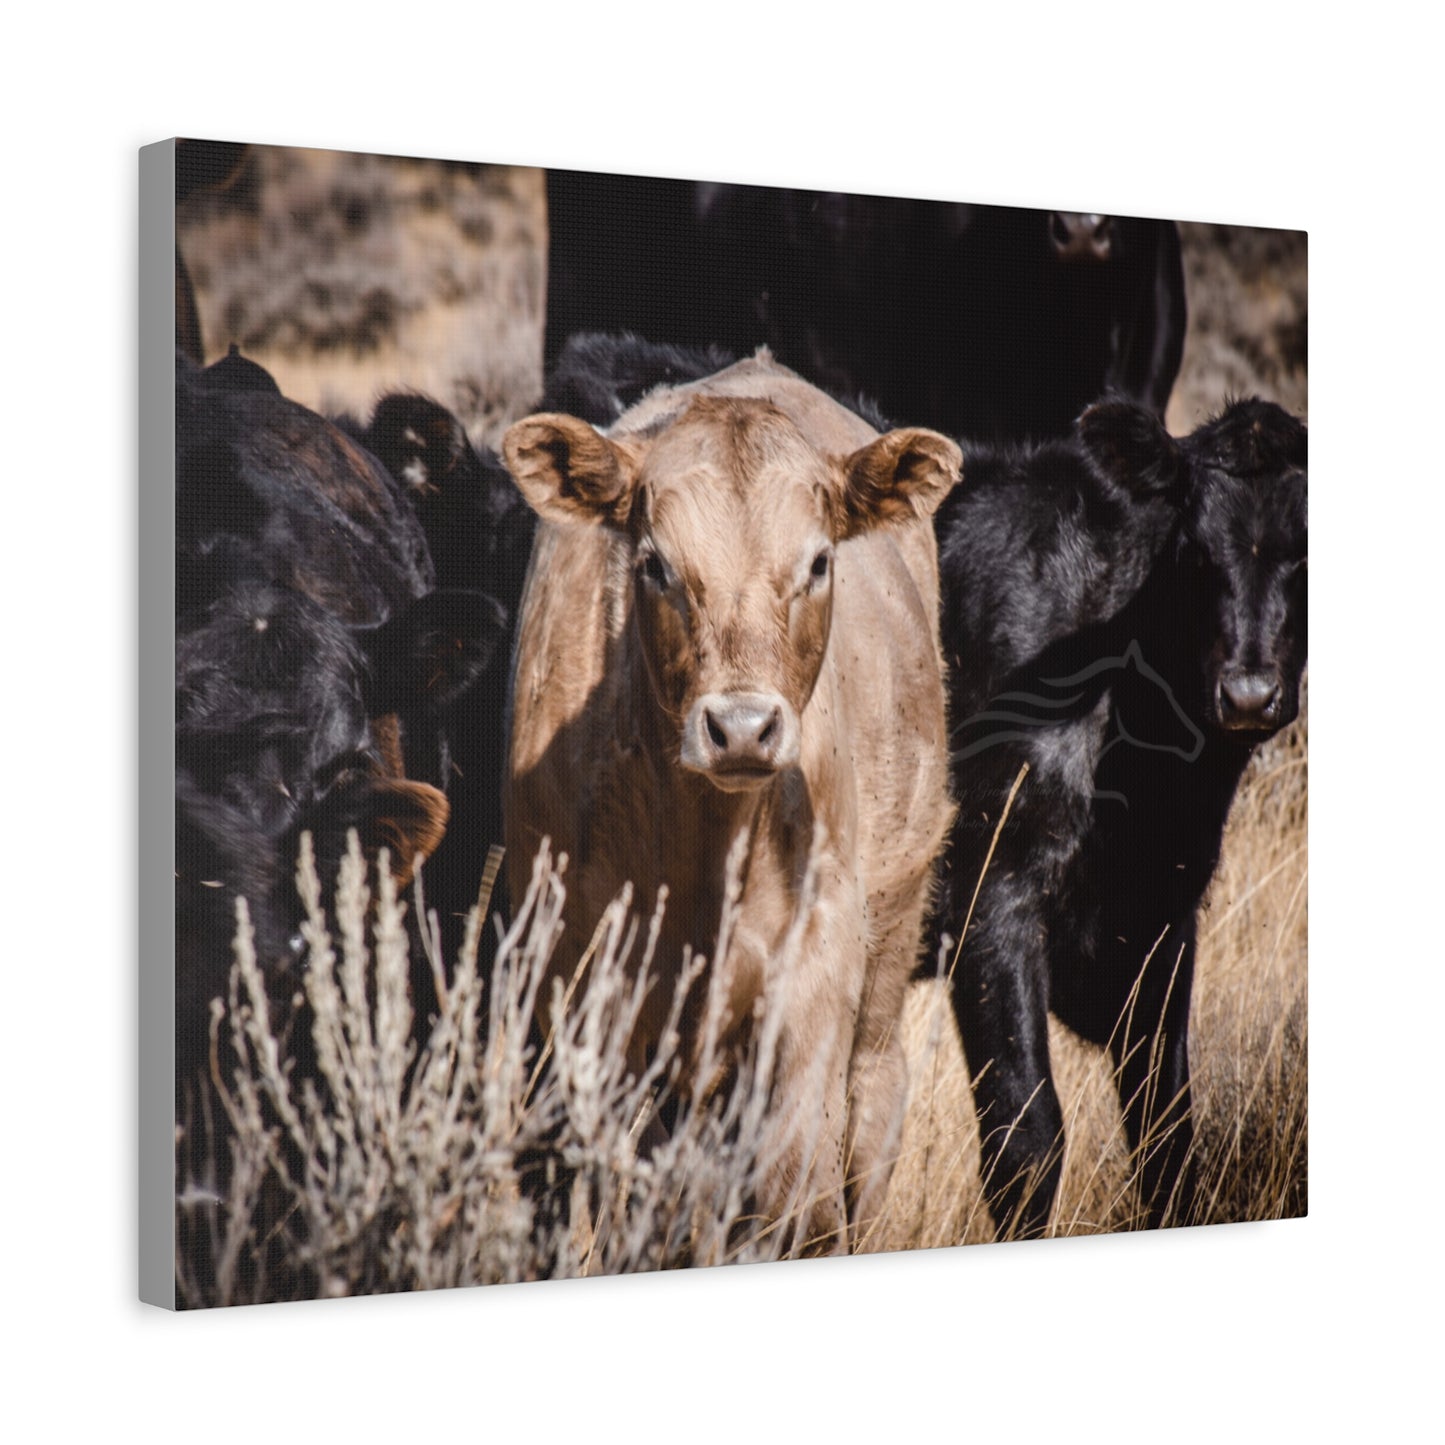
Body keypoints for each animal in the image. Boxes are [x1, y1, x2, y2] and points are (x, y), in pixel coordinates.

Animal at [501, 352, 961, 1252]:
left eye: (817, 562)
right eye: (655, 564)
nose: (742, 727)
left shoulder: (812, 978)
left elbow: (794, 1200)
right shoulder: (580, 990)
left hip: (888, 949)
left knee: (868, 1115)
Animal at [933, 396, 1308, 1235]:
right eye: (1193, 550)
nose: (1247, 694)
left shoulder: (1164, 914)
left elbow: (1165, 1134)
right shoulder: (991, 894)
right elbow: (1026, 1140)